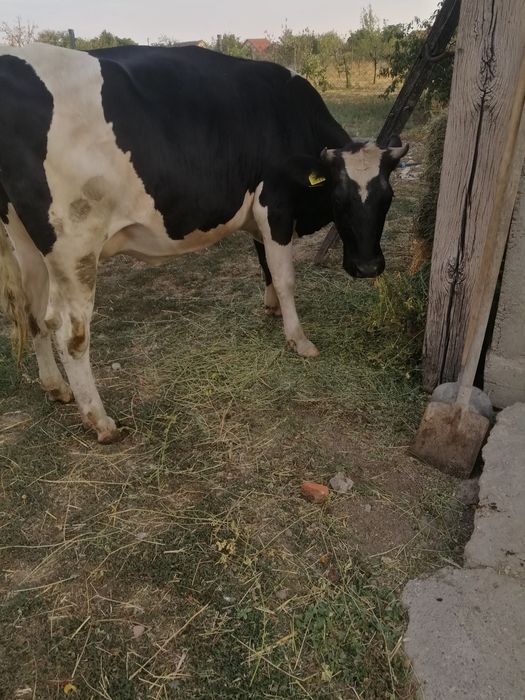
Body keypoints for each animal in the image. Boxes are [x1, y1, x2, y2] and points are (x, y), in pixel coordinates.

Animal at [0, 43, 408, 443]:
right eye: (339, 198)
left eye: (387, 198)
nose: (368, 267)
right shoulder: (274, 203)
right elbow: (285, 277)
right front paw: (298, 338)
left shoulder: (258, 214)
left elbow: (265, 264)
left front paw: (272, 308)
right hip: (76, 246)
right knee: (69, 330)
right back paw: (101, 421)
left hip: (28, 245)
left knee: (35, 313)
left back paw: (56, 388)